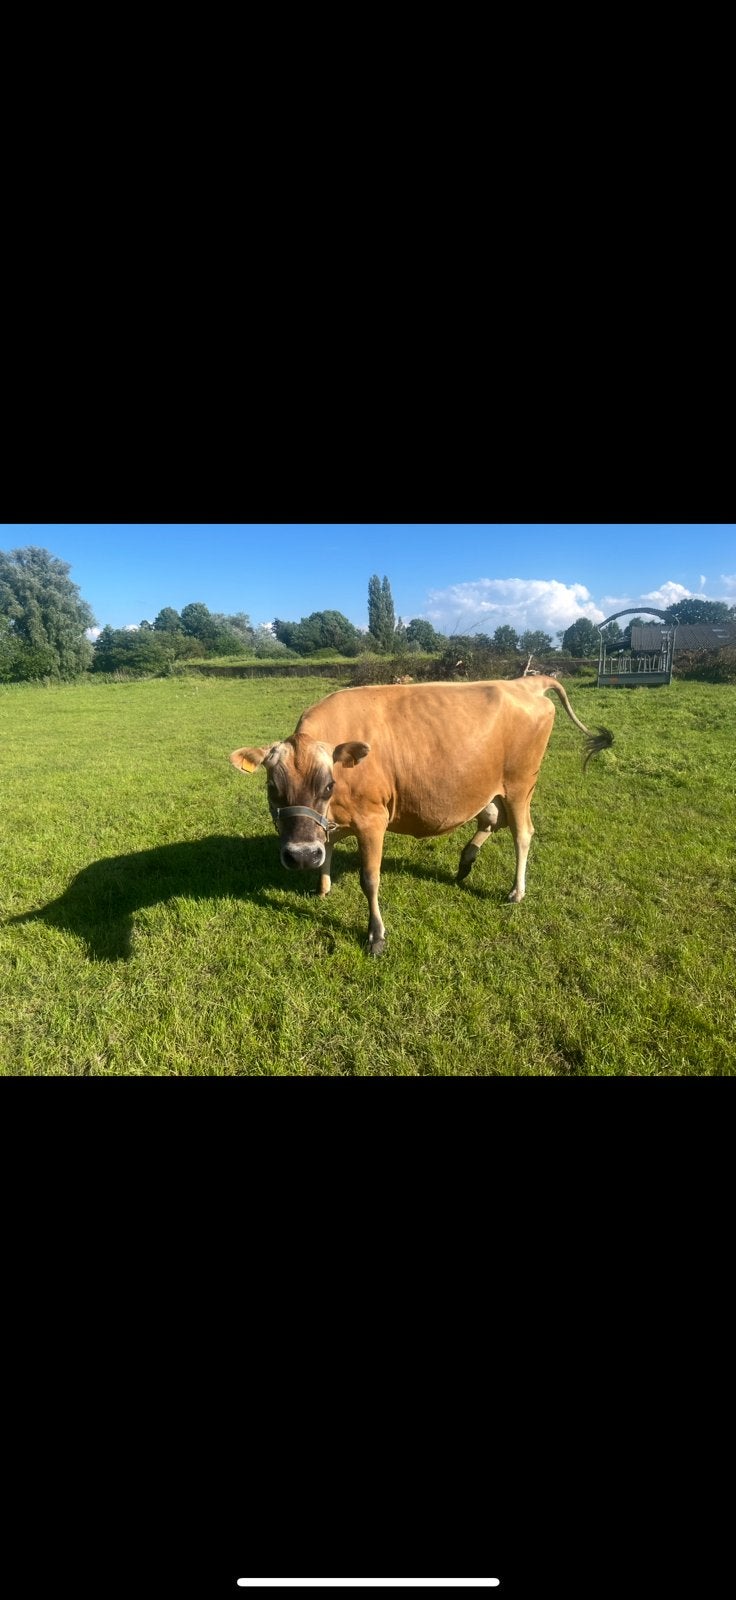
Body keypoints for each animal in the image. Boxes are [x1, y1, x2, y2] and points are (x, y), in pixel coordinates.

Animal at [230, 678, 613, 955]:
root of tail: (526, 682)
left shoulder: (372, 820)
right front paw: (322, 887)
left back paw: (516, 891)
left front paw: (376, 935)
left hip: (521, 783)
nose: (301, 856)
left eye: (328, 786)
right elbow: (329, 849)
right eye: (272, 788)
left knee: (522, 833)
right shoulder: (331, 823)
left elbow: (370, 879)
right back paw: (465, 861)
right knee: (491, 818)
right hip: (488, 785)